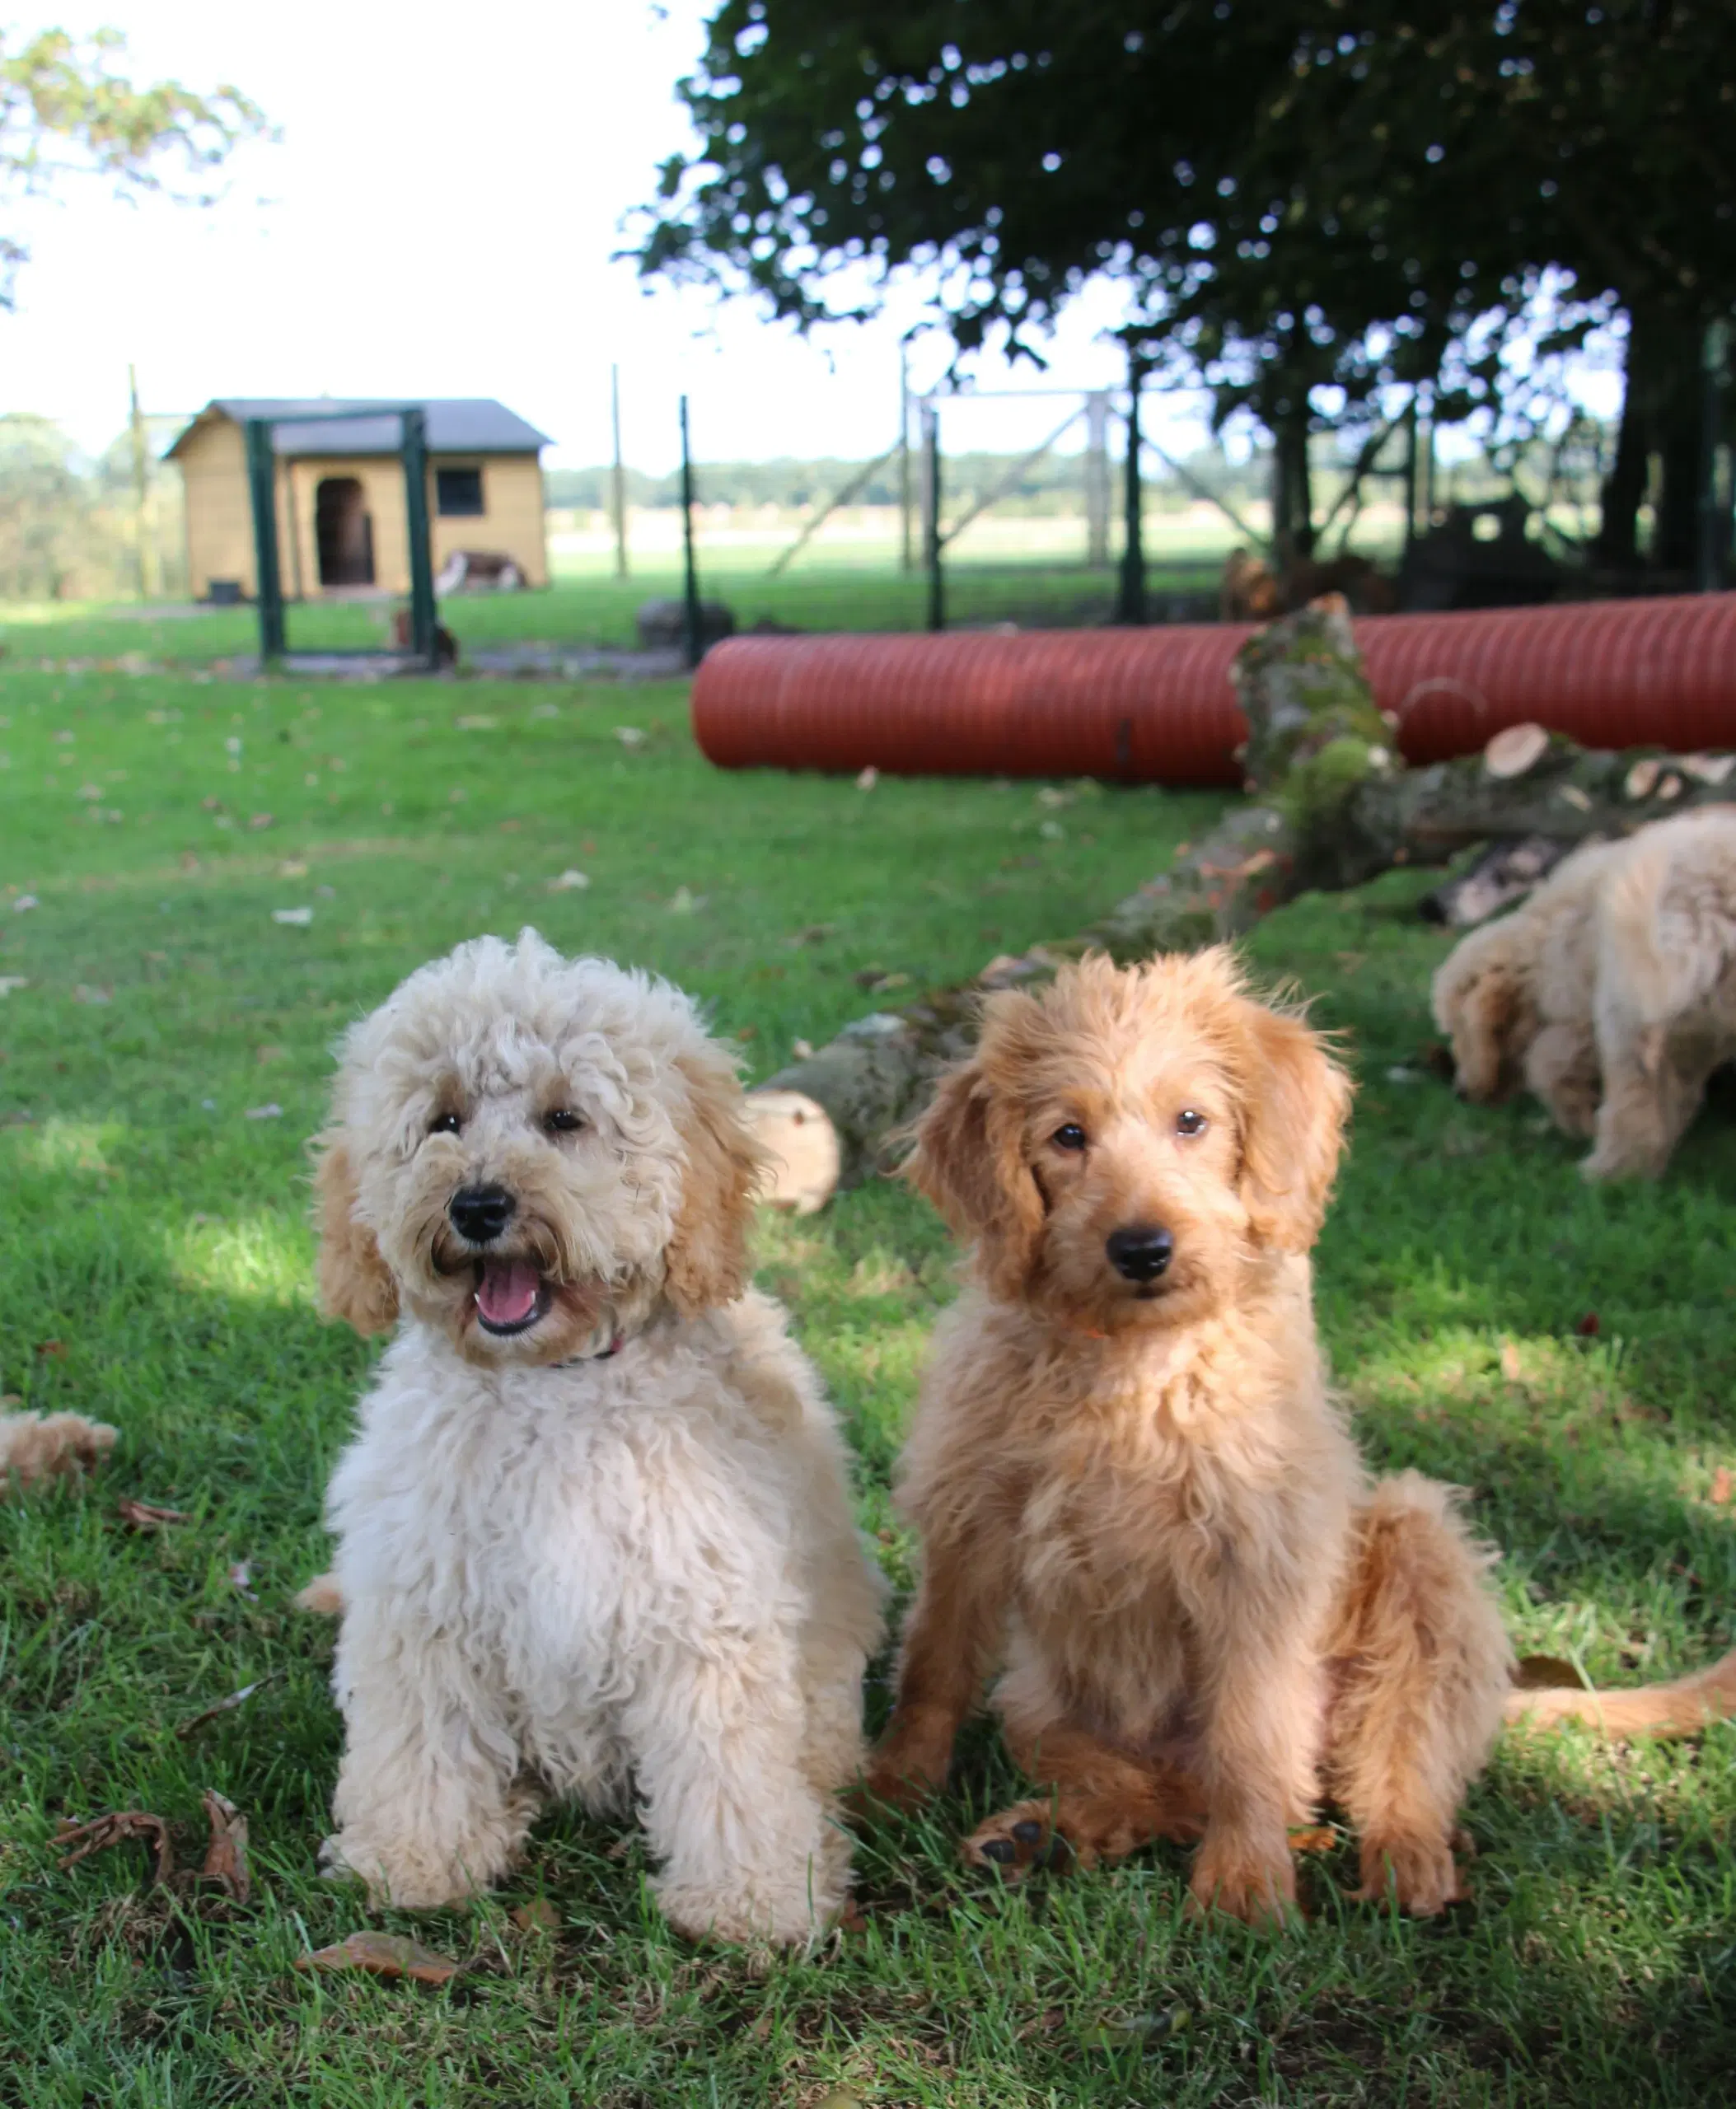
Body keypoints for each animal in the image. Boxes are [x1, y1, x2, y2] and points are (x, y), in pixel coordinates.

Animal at [307, 932, 882, 1948]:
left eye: (564, 1118)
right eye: (443, 1119)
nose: (478, 1205)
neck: (553, 1384)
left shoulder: (703, 1611)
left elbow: (728, 1767)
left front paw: (751, 1899)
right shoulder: (426, 1601)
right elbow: (420, 1740)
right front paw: (412, 1858)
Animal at [868, 957, 1518, 1931]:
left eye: (1191, 1121)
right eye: (1068, 1135)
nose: (1142, 1248)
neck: (1131, 1365)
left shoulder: (1256, 1557)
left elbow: (1247, 1736)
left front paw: (1243, 1884)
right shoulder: (970, 1515)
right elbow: (933, 1664)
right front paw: (892, 1784)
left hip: (1415, 1542)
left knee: (1376, 1750)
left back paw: (1406, 1855)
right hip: (1039, 1704)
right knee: (1163, 1788)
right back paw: (1042, 1835)